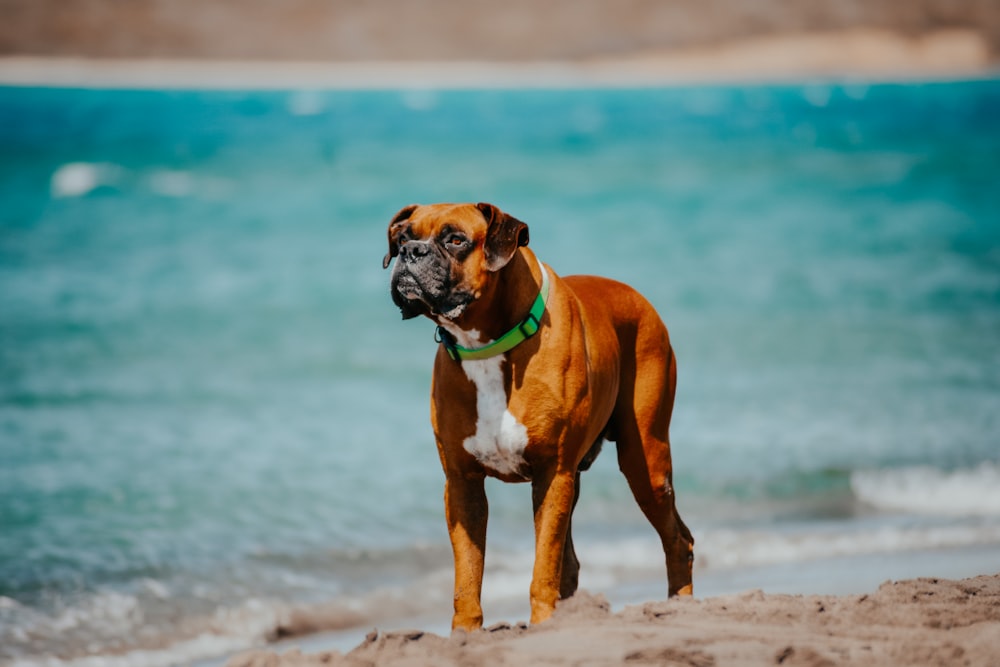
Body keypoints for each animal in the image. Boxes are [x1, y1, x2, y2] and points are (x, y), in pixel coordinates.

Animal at [382, 202, 696, 632]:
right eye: (402, 237)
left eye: (456, 239)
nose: (411, 252)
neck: (486, 345)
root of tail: (638, 297)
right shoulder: (462, 484)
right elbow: (468, 573)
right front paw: (465, 633)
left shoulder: (552, 475)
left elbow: (543, 566)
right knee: (573, 563)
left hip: (645, 463)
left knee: (679, 540)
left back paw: (679, 606)